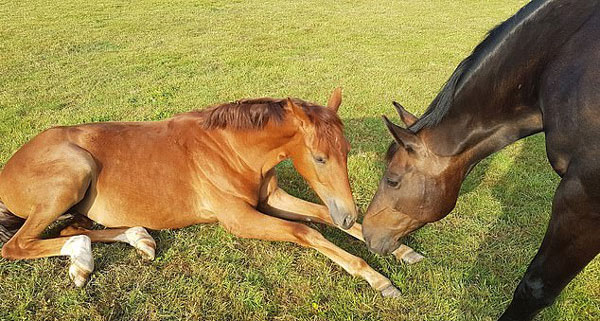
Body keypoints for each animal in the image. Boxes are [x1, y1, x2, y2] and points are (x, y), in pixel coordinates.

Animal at [0, 89, 404, 296]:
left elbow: (318, 214)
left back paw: (139, 238)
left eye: (347, 151)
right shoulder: (240, 219)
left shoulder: (270, 198)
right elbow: (307, 230)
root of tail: (9, 166)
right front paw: (377, 278)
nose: (347, 215)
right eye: (320, 158)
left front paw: (397, 246)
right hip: (74, 175)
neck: (230, 149)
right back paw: (82, 262)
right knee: (19, 245)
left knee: (73, 228)